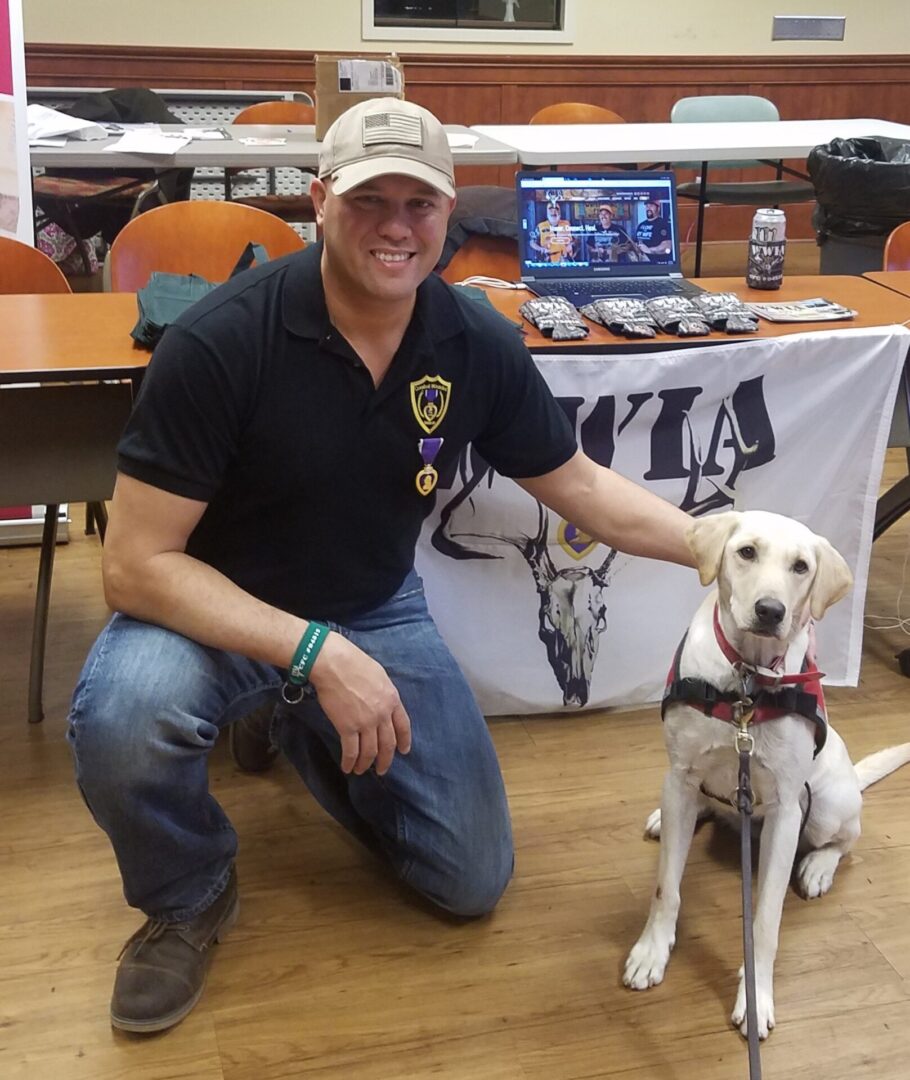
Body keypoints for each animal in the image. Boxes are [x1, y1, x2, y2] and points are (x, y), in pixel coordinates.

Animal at [621, 509, 910, 1041]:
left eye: (801, 567)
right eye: (746, 552)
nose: (771, 611)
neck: (745, 681)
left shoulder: (784, 811)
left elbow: (766, 922)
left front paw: (755, 996)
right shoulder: (680, 774)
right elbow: (666, 887)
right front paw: (652, 951)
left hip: (823, 808)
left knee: (847, 838)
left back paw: (818, 867)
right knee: (695, 809)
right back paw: (669, 817)